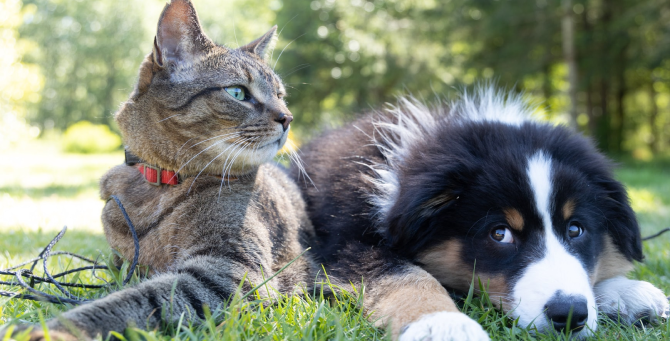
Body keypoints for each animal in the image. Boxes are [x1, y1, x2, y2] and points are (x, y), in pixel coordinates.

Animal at [0, 1, 316, 338]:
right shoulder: (122, 264)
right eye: (237, 92)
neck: (159, 184)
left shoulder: (231, 271)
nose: (288, 117)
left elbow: (131, 301)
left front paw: (57, 329)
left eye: (280, 95)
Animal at [296, 86, 670, 338]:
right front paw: (443, 324)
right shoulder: (346, 245)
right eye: (499, 234)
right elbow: (406, 276)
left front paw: (626, 292)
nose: (568, 315)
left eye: (576, 229)